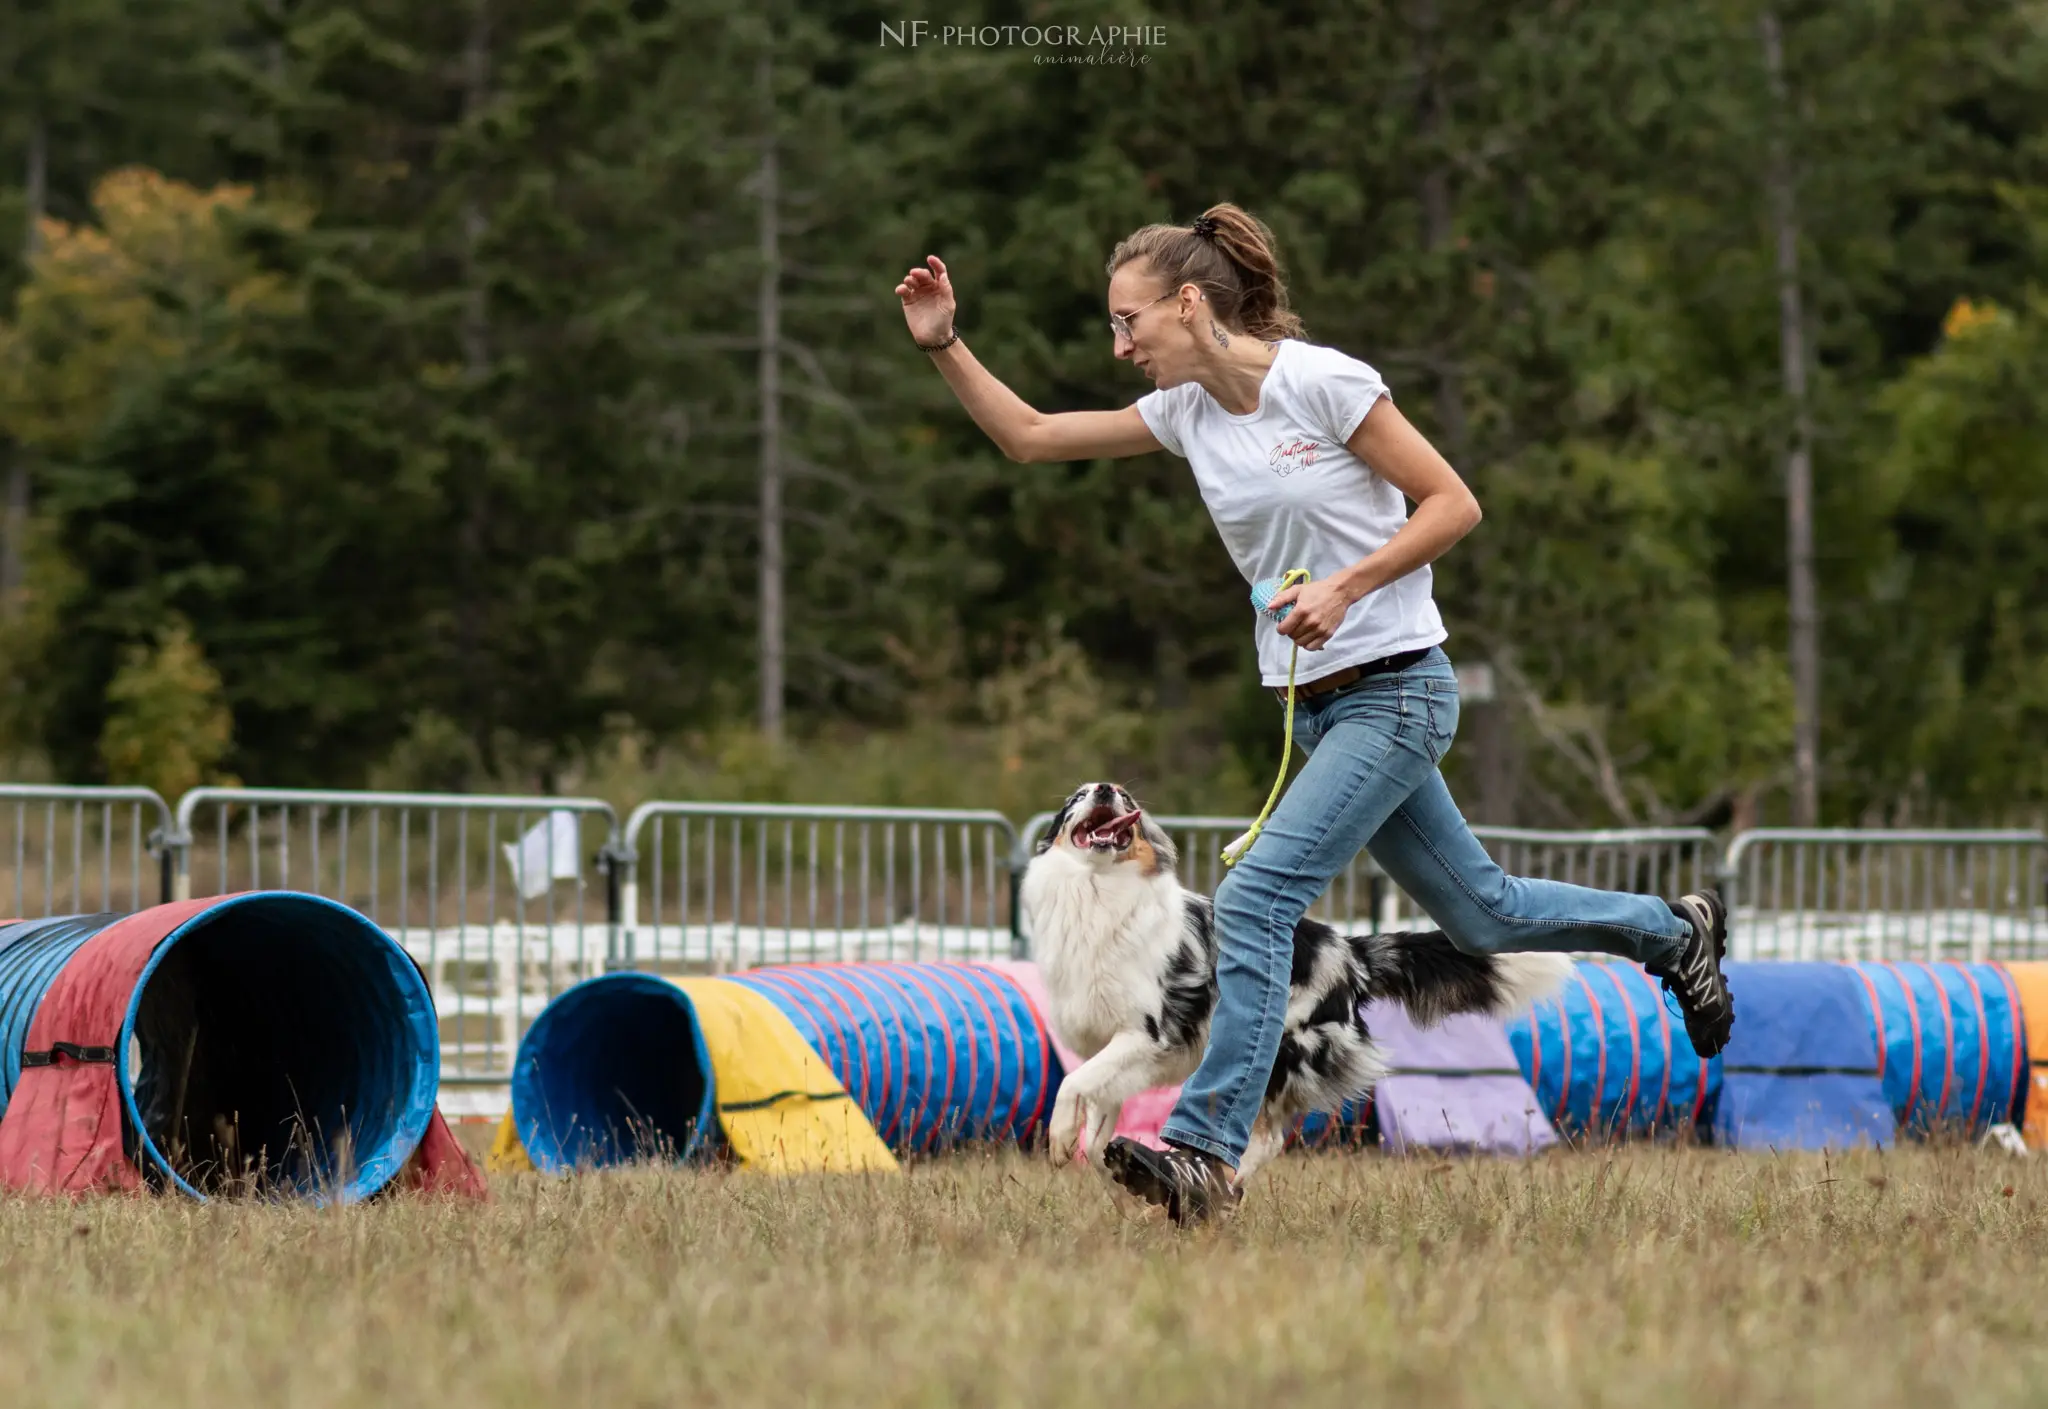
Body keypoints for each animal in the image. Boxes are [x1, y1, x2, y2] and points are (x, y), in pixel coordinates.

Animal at [1019, 782, 1564, 1187]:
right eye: (1078, 796)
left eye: (1126, 798)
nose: (1107, 790)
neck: (1097, 889)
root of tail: (1348, 949)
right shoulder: (1113, 1041)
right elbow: (1101, 1103)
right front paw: (1098, 1158)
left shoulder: (1148, 1031)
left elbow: (1073, 1083)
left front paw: (1061, 1137)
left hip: (1282, 1051)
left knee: (1266, 1138)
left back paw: (1221, 1184)